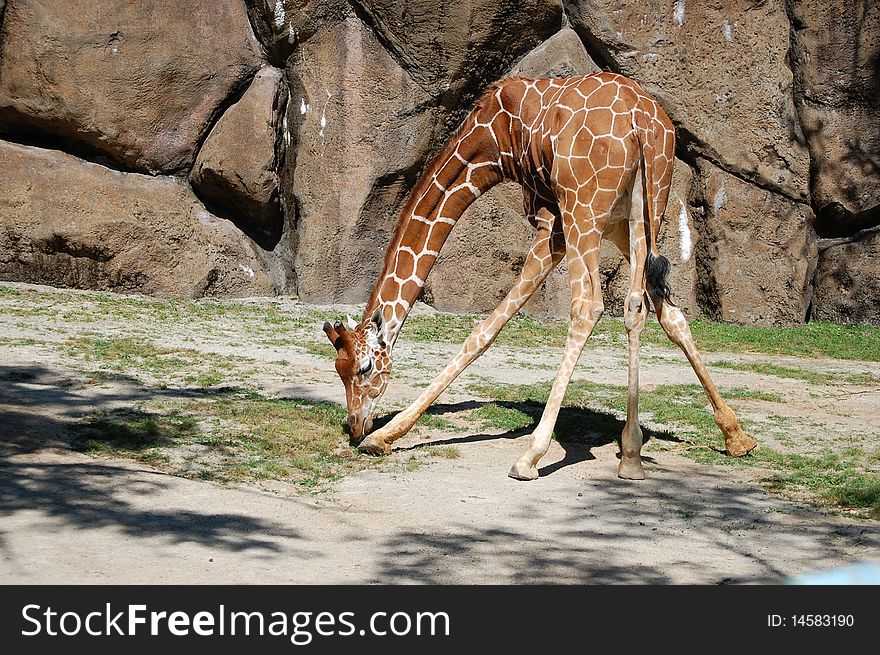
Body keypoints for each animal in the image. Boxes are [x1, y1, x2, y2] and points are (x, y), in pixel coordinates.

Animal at [324, 73, 756, 482]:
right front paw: (735, 435)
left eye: (364, 368)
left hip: (583, 210)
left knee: (588, 306)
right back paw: (633, 455)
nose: (356, 426)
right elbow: (669, 316)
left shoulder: (552, 221)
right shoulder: (613, 223)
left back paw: (530, 456)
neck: (493, 140)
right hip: (648, 207)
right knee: (639, 305)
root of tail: (643, 125)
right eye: (339, 370)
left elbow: (484, 331)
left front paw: (387, 435)